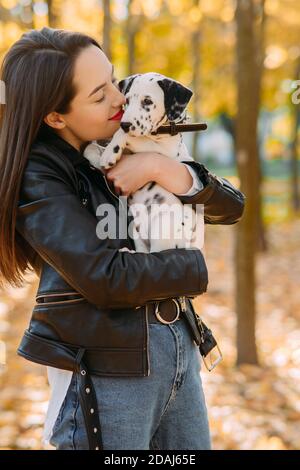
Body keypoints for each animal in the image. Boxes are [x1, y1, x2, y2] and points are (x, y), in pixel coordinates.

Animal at [84, 72, 204, 253]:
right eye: (127, 100)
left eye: (147, 101)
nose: (125, 124)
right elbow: (94, 150)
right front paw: (97, 153)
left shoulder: (162, 152)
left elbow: (126, 136)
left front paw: (110, 152)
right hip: (135, 230)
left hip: (163, 227)